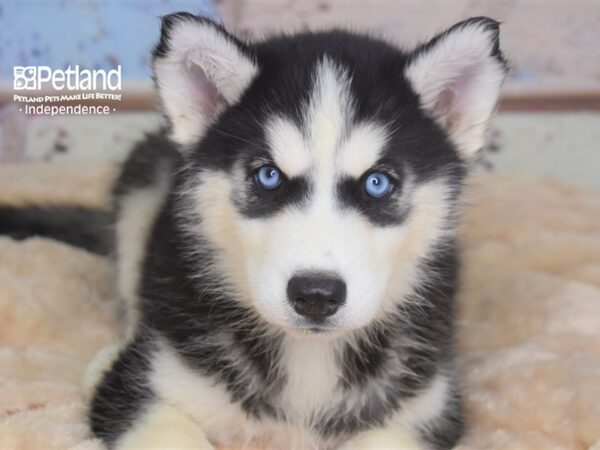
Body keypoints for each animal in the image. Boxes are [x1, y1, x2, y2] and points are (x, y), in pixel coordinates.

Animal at [2, 12, 508, 448]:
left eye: (377, 183)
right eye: (268, 176)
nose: (316, 295)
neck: (309, 356)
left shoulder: (428, 410)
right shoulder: (142, 388)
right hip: (143, 181)